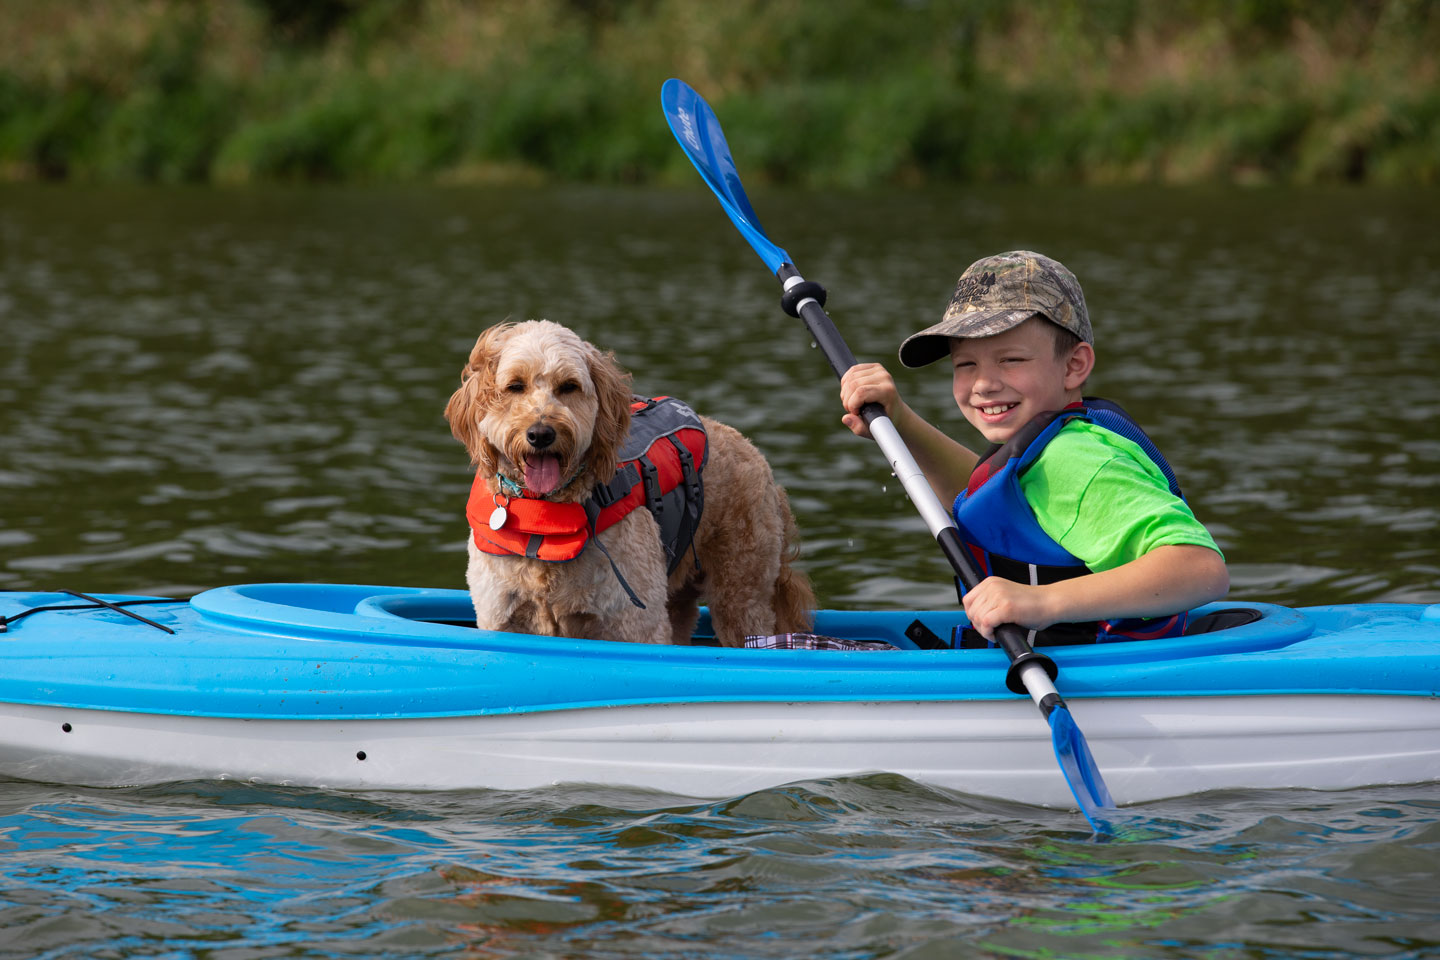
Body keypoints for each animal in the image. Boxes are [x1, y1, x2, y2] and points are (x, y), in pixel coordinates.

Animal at [443, 320, 817, 644]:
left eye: (569, 387)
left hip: (740, 591)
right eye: (515, 386)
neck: (545, 517)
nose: (541, 434)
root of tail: (753, 450)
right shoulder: (502, 618)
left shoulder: (634, 622)